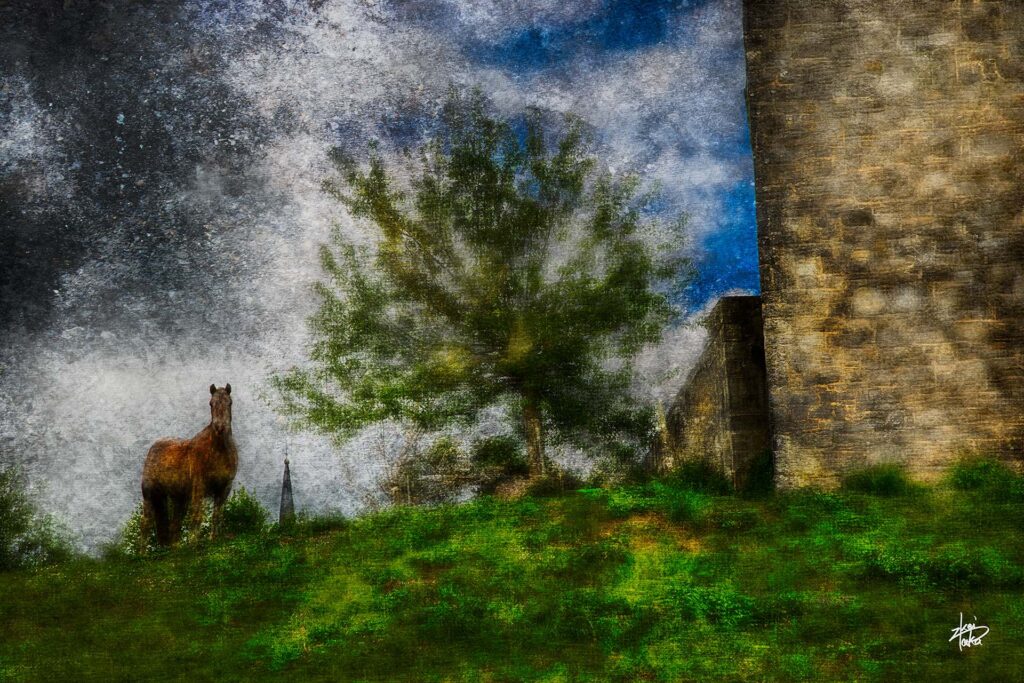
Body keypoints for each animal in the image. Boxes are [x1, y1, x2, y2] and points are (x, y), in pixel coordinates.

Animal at [140, 385, 237, 544]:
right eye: (211, 403)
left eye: (230, 402)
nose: (220, 427)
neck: (218, 452)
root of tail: (154, 447)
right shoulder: (199, 488)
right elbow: (197, 517)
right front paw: (193, 544)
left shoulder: (224, 488)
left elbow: (216, 516)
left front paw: (213, 540)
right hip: (149, 496)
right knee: (145, 527)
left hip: (178, 499)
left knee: (174, 527)